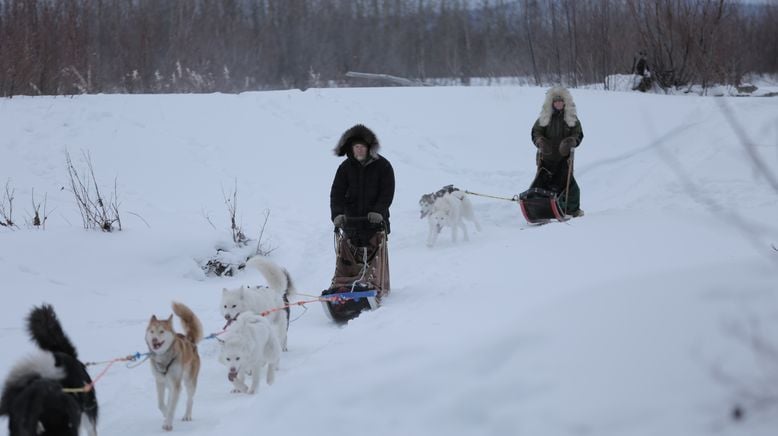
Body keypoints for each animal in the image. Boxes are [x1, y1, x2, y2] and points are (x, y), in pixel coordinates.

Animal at [144, 302, 202, 430]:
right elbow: (161, 404)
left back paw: (187, 415)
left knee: (190, 400)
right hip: (170, 383)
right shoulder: (160, 382)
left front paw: (168, 424)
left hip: (189, 381)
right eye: (152, 331)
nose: (154, 340)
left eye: (161, 331)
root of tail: (190, 340)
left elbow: (171, 406)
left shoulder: (176, 384)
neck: (163, 358)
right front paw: (166, 415)